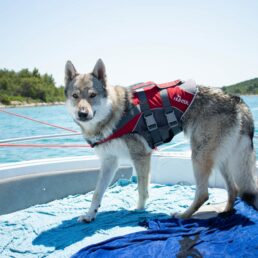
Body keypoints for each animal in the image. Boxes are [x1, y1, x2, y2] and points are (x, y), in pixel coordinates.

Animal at [64, 58, 258, 222]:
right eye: (75, 96)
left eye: (92, 95)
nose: (82, 114)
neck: (114, 116)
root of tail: (236, 100)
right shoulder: (109, 163)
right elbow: (97, 193)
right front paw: (89, 215)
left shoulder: (141, 157)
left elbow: (142, 190)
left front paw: (138, 210)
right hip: (219, 160)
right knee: (233, 189)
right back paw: (225, 211)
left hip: (198, 157)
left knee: (204, 194)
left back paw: (182, 215)